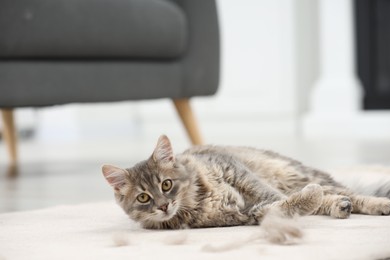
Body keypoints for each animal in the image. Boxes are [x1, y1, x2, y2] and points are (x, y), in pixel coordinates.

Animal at [102, 135, 390, 233]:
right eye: (143, 198)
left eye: (166, 185)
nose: (163, 206)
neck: (200, 198)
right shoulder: (245, 213)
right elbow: (279, 207)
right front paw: (303, 203)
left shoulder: (237, 173)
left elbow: (271, 196)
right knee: (334, 196)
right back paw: (338, 206)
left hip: (293, 174)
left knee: (348, 191)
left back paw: (378, 204)